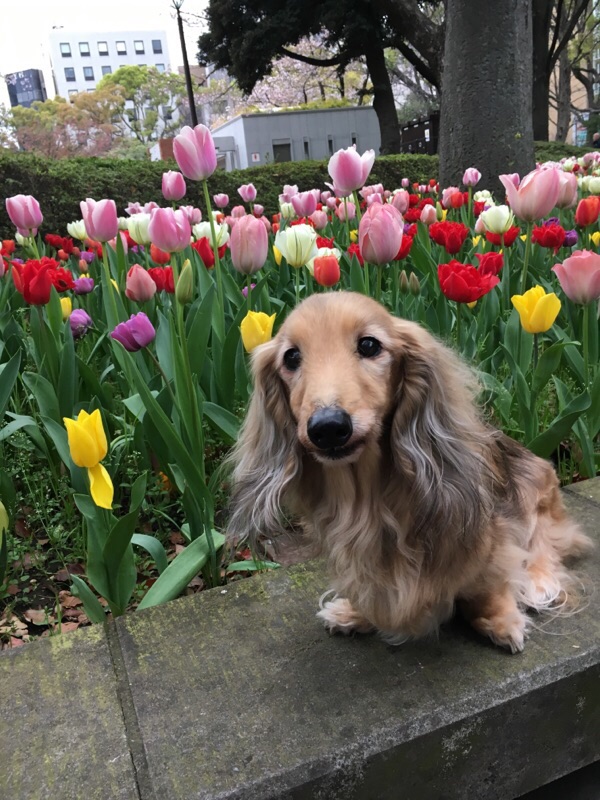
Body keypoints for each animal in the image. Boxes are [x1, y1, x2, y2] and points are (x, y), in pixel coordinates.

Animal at [228, 292, 592, 652]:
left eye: (369, 345)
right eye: (291, 357)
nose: (328, 427)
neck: (368, 493)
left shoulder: (490, 537)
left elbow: (488, 584)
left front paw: (500, 620)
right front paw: (355, 613)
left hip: (537, 487)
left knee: (547, 541)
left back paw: (540, 581)